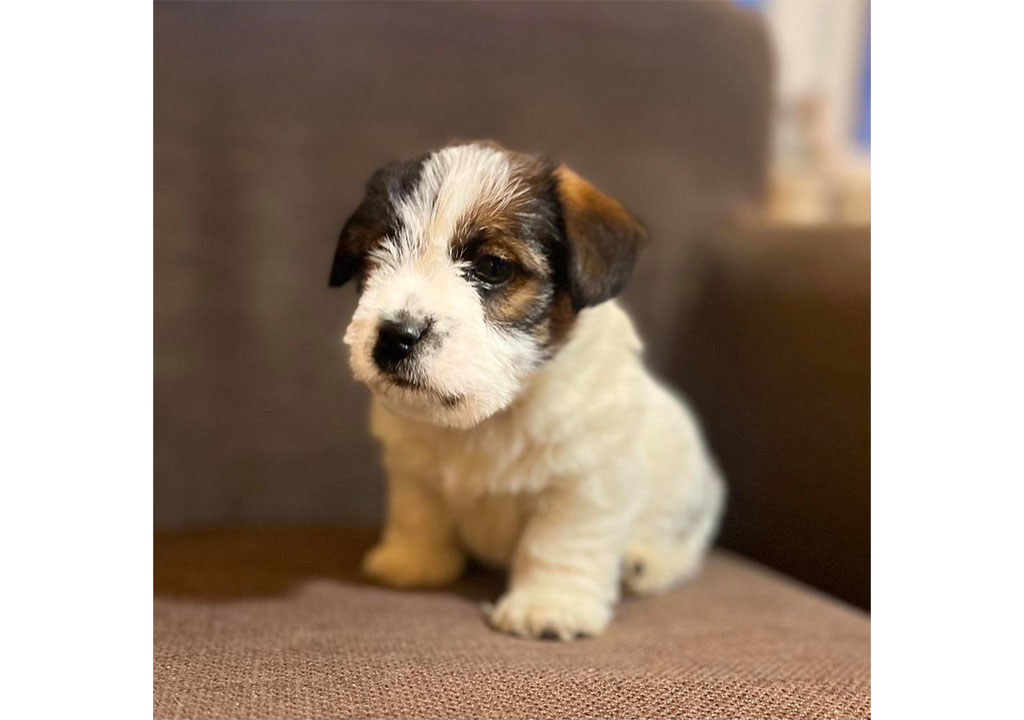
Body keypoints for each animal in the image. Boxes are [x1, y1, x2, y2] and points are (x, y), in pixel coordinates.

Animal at [329, 141, 724, 640]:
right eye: (374, 255)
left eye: (492, 267)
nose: (395, 336)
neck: (491, 416)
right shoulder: (412, 466)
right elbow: (418, 511)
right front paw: (413, 560)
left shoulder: (583, 480)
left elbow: (560, 541)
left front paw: (549, 605)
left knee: (686, 546)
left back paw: (646, 563)